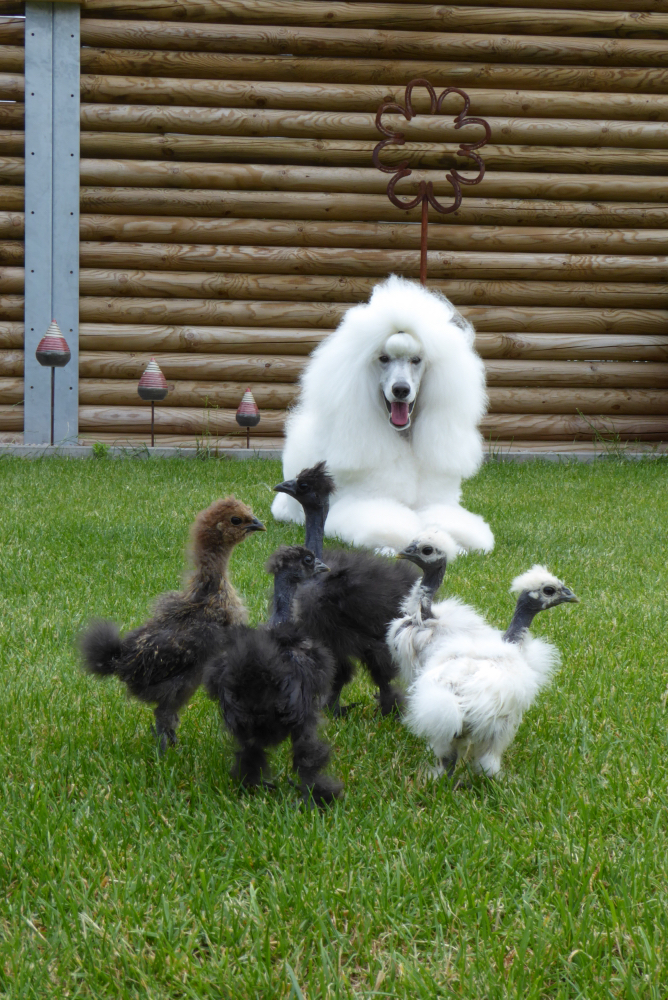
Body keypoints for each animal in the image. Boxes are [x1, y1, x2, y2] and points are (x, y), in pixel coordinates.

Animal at [272, 274, 496, 556]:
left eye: (416, 360)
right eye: (383, 358)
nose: (401, 390)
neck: (403, 437)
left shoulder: (437, 502)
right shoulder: (362, 503)